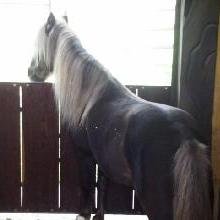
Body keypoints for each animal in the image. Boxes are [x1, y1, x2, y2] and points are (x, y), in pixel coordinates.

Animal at [27, 12, 211, 219]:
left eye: (38, 46)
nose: (31, 72)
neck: (91, 96)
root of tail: (184, 133)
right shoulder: (102, 159)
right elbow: (102, 187)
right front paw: (99, 215)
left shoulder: (85, 155)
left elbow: (87, 186)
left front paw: (83, 214)